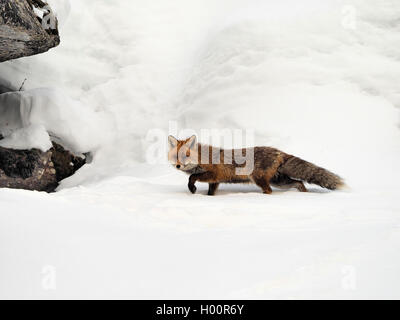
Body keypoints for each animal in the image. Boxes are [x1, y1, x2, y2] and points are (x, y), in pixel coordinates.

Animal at [168, 135, 344, 195]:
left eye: (186, 155)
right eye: (176, 156)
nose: (178, 166)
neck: (202, 158)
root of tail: (278, 151)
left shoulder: (214, 174)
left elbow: (192, 177)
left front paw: (192, 189)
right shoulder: (215, 181)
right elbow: (211, 193)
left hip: (259, 179)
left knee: (269, 191)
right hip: (279, 181)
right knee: (299, 182)